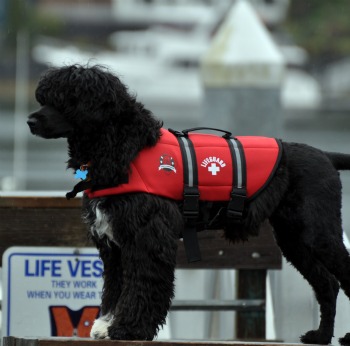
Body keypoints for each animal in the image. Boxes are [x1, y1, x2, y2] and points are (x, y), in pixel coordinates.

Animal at [28, 64, 350, 344]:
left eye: (66, 100)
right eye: (44, 98)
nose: (31, 120)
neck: (126, 148)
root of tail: (326, 155)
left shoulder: (147, 238)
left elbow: (141, 286)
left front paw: (129, 328)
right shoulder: (115, 243)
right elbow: (115, 286)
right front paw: (105, 325)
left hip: (319, 233)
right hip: (294, 238)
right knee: (328, 284)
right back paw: (321, 336)